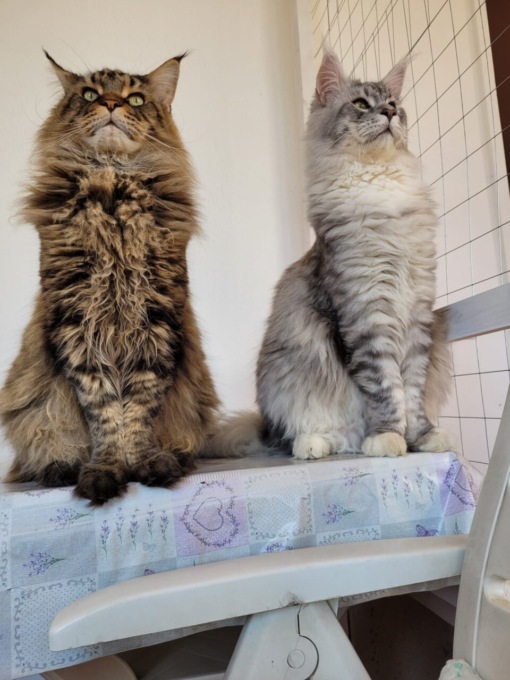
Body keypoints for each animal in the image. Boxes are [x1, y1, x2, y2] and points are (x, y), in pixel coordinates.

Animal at [0, 52, 219, 505]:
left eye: (135, 99)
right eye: (89, 95)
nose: (113, 104)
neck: (113, 188)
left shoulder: (157, 319)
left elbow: (138, 410)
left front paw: (144, 462)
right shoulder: (76, 321)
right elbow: (103, 413)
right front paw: (105, 470)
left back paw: (178, 459)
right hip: (29, 404)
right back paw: (60, 469)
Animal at [209, 50, 456, 461]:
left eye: (395, 104)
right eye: (361, 104)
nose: (389, 113)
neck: (379, 185)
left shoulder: (418, 317)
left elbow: (413, 390)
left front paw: (421, 437)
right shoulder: (366, 314)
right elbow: (385, 388)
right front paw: (388, 437)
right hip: (286, 381)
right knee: (298, 438)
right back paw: (315, 444)